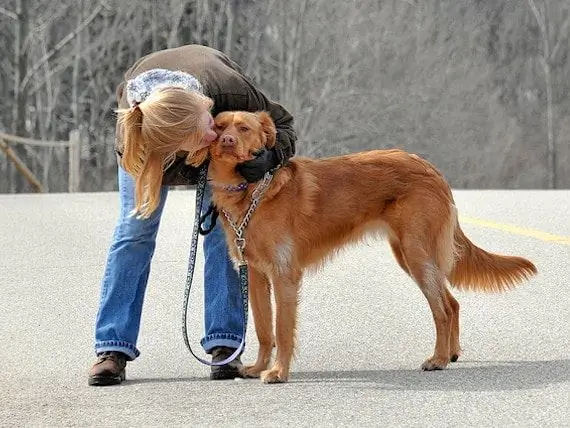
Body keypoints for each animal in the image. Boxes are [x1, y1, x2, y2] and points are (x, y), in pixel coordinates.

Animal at [189, 110, 536, 384]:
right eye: (220, 126)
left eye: (244, 129)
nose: (226, 141)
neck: (253, 190)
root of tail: (429, 168)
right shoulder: (257, 275)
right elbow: (264, 330)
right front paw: (259, 367)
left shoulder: (284, 275)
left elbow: (282, 330)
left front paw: (278, 372)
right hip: (411, 256)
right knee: (452, 302)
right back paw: (450, 354)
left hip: (417, 254)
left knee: (444, 308)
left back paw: (437, 359)